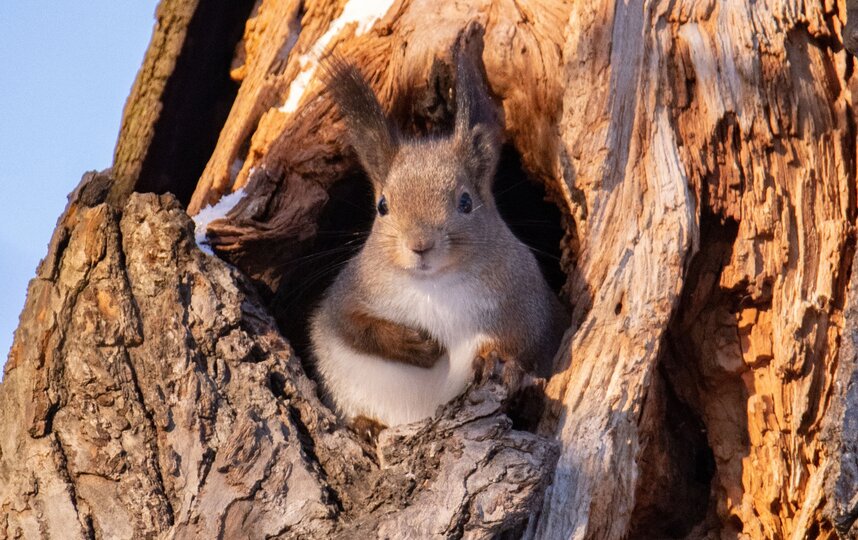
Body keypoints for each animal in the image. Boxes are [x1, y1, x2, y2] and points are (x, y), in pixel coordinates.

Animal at [310, 52, 568, 432]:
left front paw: (494, 358)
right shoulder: (346, 296)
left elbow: (525, 343)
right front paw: (417, 344)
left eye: (466, 202)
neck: (435, 286)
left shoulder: (531, 302)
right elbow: (353, 326)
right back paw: (367, 425)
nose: (420, 245)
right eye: (382, 206)